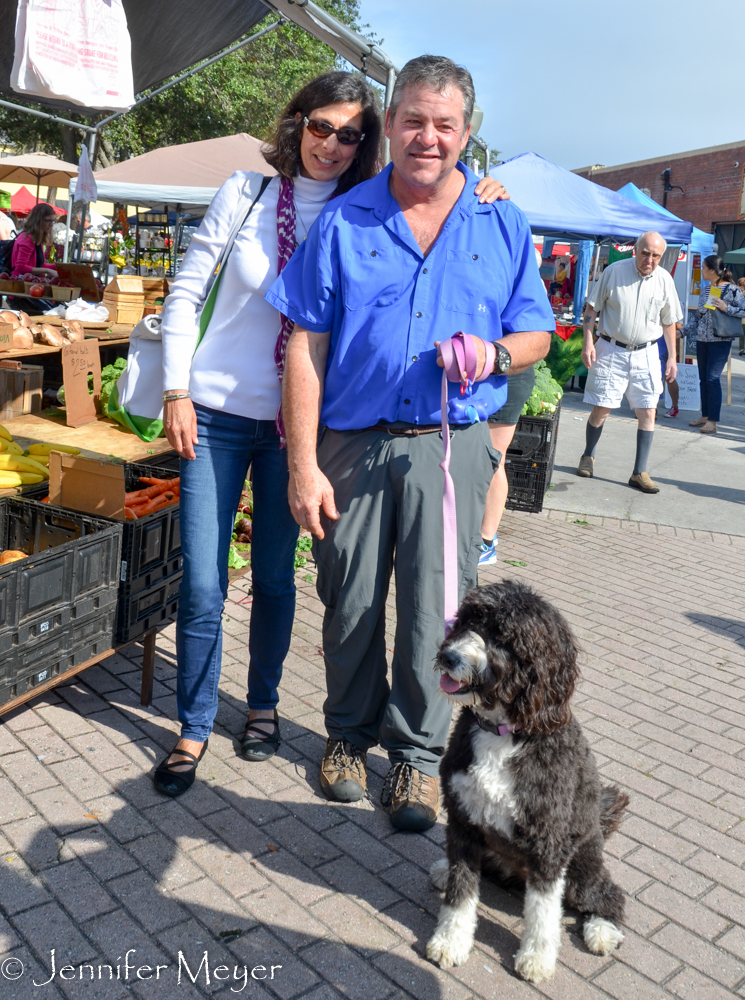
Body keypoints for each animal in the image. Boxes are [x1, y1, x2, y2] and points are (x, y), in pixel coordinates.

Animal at [424, 584, 628, 980]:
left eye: (503, 638)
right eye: (468, 620)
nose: (448, 655)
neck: (501, 732)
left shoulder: (548, 841)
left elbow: (543, 910)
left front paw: (536, 957)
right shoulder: (463, 822)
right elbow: (461, 891)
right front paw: (451, 941)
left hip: (582, 864)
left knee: (607, 894)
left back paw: (601, 928)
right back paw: (442, 868)